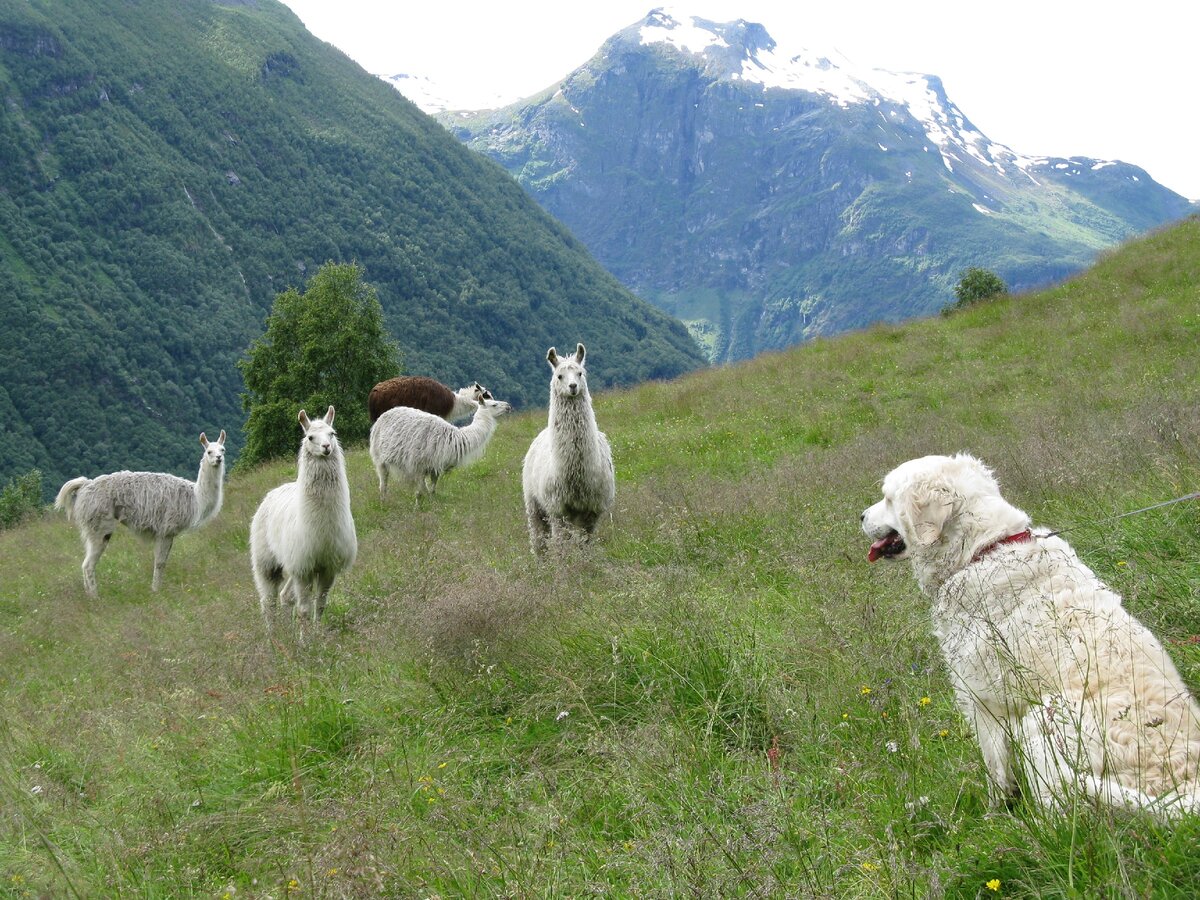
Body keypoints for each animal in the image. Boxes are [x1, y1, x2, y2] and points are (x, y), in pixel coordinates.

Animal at [864, 458, 1200, 816]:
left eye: (887, 498)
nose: (860, 517)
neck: (984, 549)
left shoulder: (983, 701)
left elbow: (996, 770)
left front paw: (994, 815)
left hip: (1042, 720)